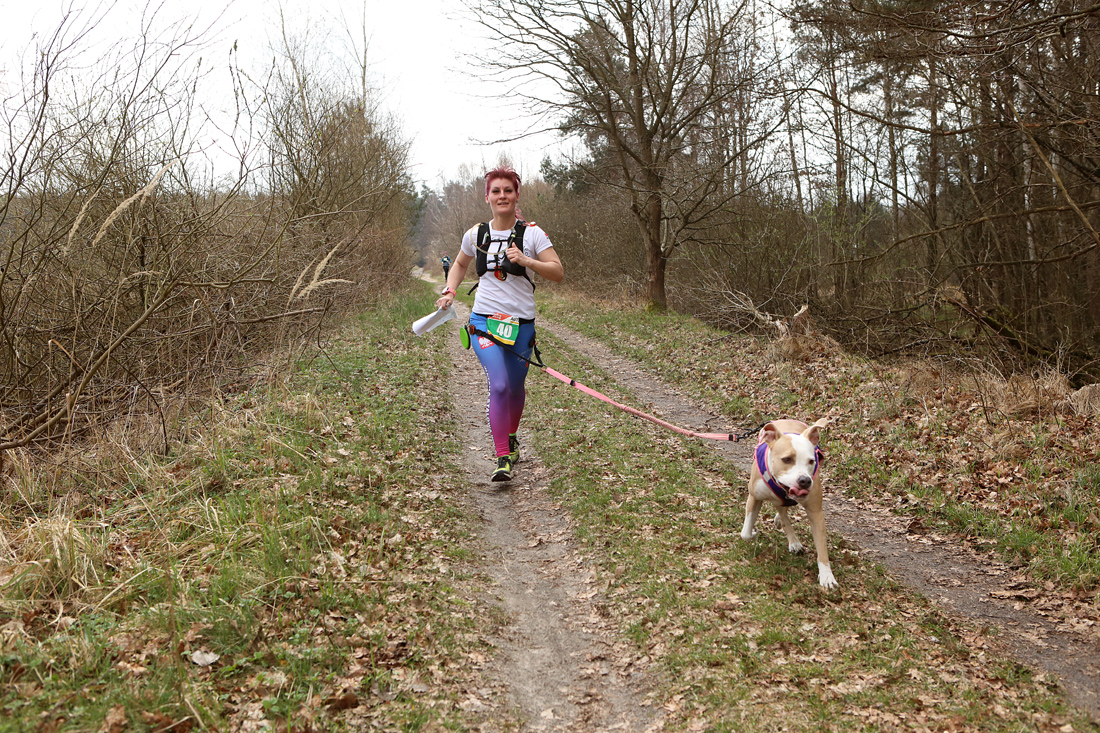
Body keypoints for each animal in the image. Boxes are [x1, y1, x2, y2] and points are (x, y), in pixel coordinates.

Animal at [740, 419, 837, 590]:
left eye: (811, 461)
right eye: (786, 459)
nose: (805, 480)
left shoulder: (816, 512)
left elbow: (821, 546)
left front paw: (826, 576)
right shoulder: (754, 497)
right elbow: (745, 534)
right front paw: (753, 532)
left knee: (783, 510)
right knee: (782, 511)